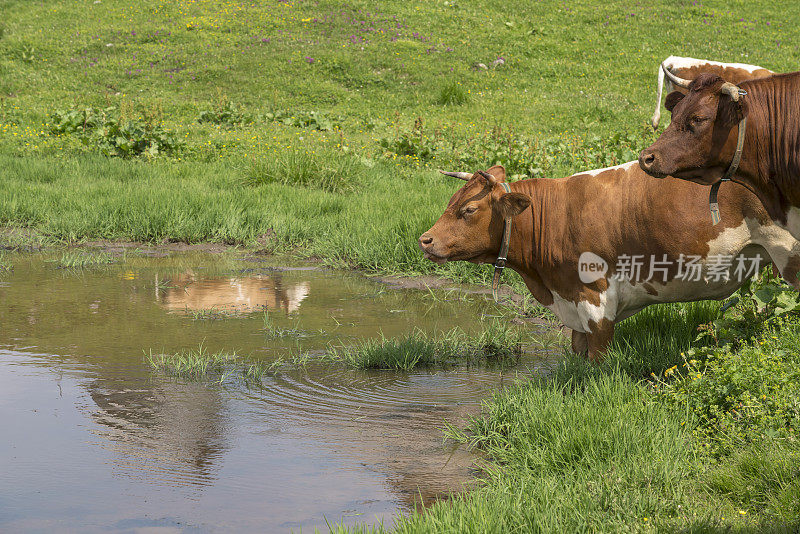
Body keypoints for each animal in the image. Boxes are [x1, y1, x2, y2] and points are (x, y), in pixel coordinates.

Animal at [418, 165, 800, 362]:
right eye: (451, 201)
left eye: (468, 209)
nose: (426, 240)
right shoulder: (571, 296)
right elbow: (577, 349)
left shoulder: (595, 297)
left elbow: (598, 355)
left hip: (787, 250)